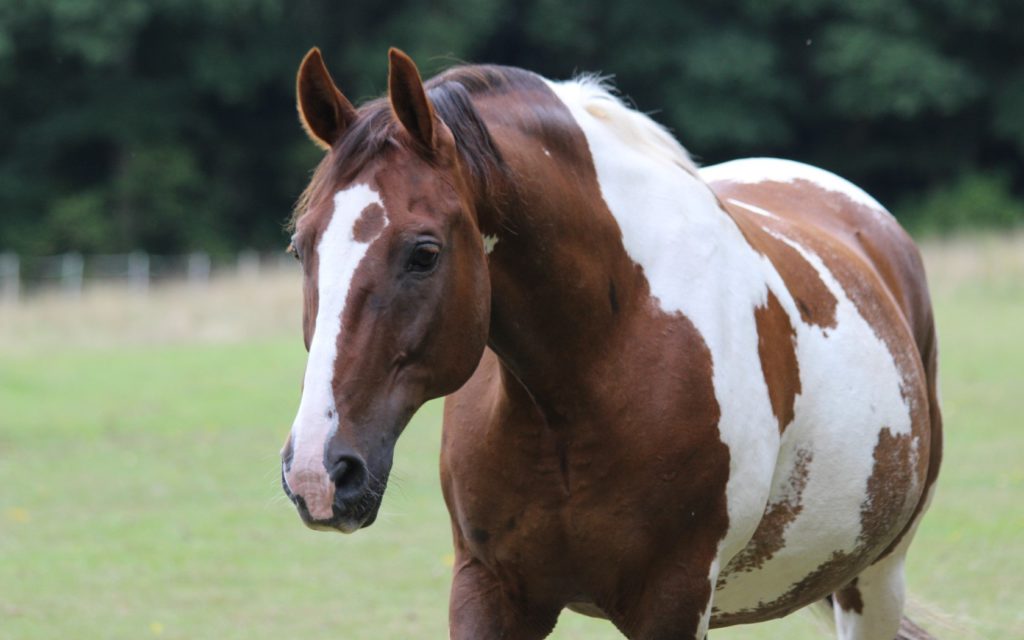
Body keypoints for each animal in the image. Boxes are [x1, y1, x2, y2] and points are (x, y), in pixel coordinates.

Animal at [280, 46, 942, 638]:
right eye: (300, 247)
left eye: (424, 253)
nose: (319, 472)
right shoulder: (488, 589)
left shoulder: (674, 599)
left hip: (875, 579)